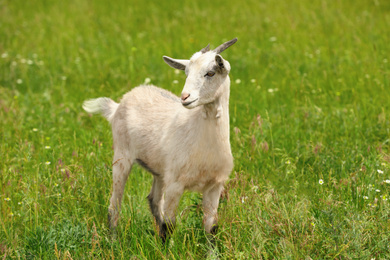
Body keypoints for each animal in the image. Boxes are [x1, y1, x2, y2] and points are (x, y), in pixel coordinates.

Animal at [82, 37, 238, 243]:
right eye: (186, 72)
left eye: (210, 73)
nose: (185, 97)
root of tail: (117, 106)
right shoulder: (175, 184)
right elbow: (169, 225)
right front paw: (167, 247)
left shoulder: (214, 186)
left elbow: (211, 228)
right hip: (121, 156)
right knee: (115, 203)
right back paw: (114, 240)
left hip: (160, 171)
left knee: (154, 200)